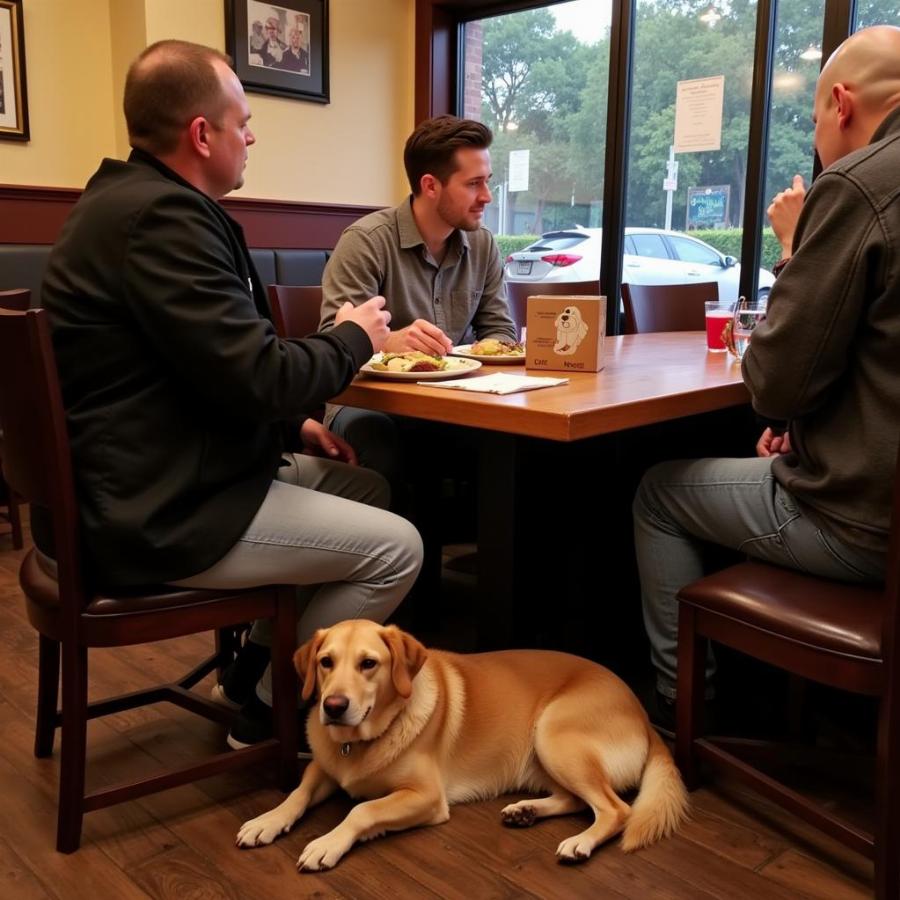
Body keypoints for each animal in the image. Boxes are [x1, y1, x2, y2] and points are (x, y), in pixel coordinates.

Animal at [236, 624, 684, 868]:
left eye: (368, 664)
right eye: (326, 662)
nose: (332, 706)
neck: (362, 742)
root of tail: (645, 719)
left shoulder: (426, 797)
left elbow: (362, 810)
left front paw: (328, 842)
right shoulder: (323, 768)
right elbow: (296, 793)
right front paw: (267, 821)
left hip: (553, 733)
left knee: (615, 809)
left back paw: (580, 843)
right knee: (576, 800)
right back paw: (526, 811)